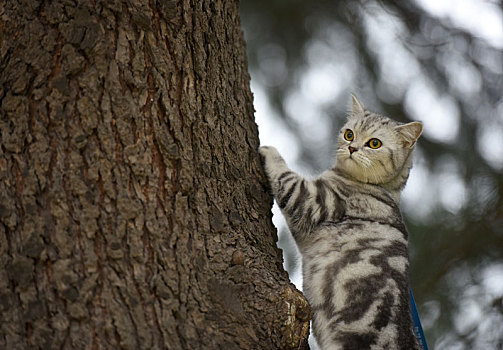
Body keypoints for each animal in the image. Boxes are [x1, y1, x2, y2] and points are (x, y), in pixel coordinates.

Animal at [262, 94, 424, 348]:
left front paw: (267, 149)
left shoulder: (312, 201)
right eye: (349, 134)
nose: (351, 147)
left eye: (374, 143)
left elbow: (286, 176)